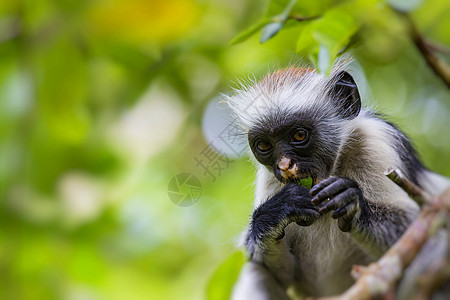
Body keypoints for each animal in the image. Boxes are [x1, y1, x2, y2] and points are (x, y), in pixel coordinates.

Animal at [225, 62, 450, 298]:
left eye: (298, 135)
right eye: (264, 145)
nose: (284, 165)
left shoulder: (376, 142)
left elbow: (416, 227)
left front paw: (351, 202)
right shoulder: (269, 178)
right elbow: (279, 270)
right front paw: (275, 212)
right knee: (254, 270)